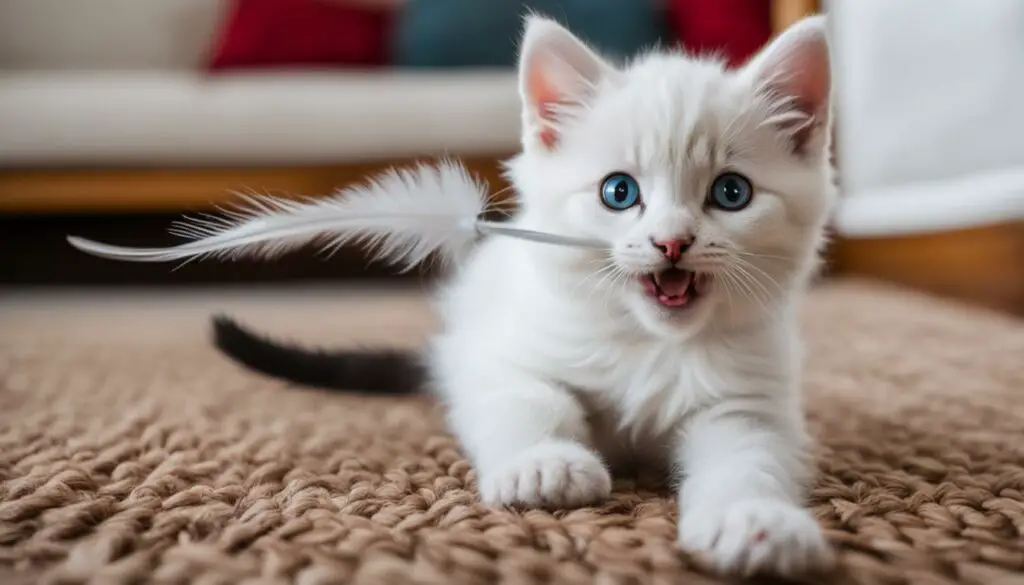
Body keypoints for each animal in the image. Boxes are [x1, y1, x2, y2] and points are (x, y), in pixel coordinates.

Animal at [428, 14, 835, 581]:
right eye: (618, 192)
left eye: (732, 193)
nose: (672, 241)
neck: (651, 343)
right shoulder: (499, 353)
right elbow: (528, 398)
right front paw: (545, 464)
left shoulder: (745, 403)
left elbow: (749, 459)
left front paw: (755, 520)